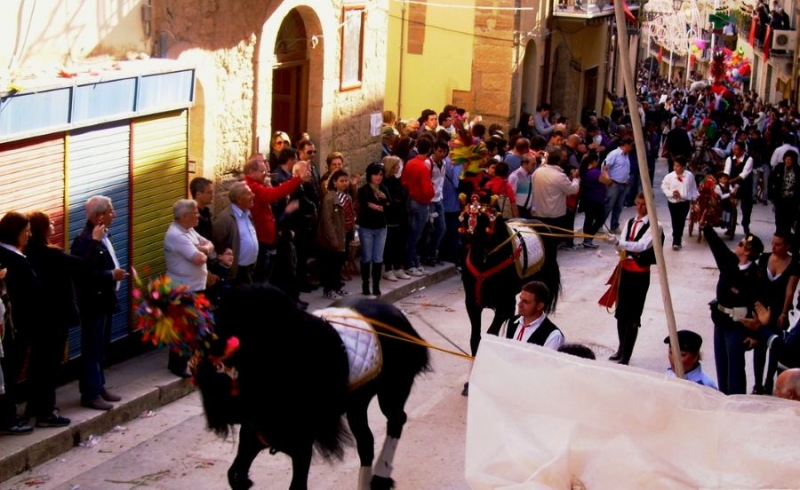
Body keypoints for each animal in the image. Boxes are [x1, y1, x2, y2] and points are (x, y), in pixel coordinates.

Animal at [193, 284, 430, 490]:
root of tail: (401, 317)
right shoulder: (255, 435)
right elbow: (235, 475)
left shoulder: (301, 444)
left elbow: (296, 485)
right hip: (357, 403)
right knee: (366, 441)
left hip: (393, 388)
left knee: (396, 420)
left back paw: (381, 474)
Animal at [458, 194, 562, 360]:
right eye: (466, 217)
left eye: (483, 219)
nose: (468, 243)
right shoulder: (472, 304)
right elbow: (475, 338)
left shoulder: (504, 305)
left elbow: (490, 334)